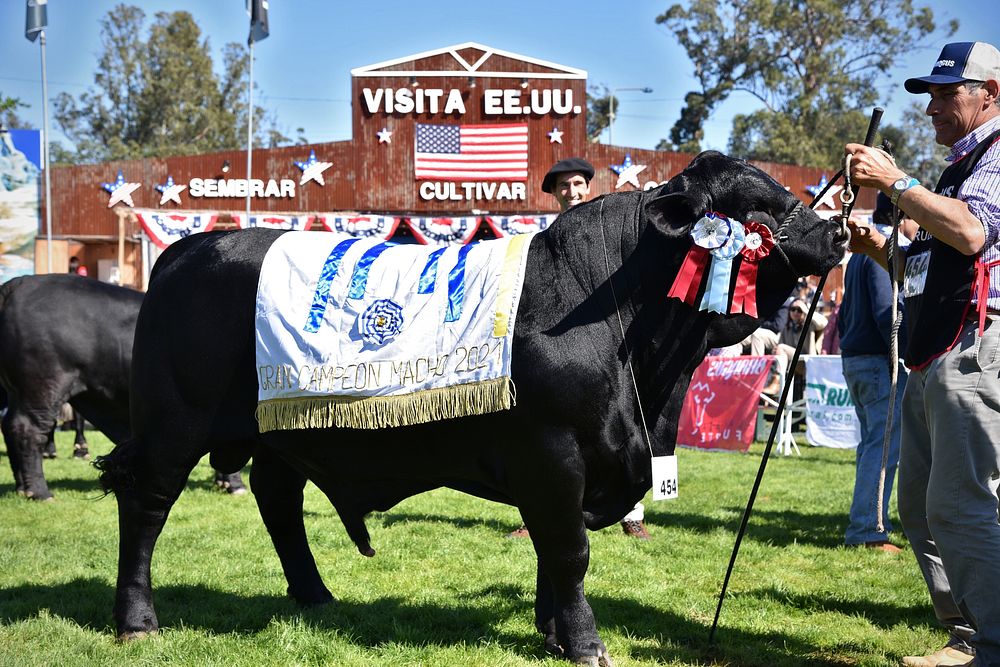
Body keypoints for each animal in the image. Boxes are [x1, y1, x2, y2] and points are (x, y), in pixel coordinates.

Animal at [97, 154, 848, 664]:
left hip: (284, 433)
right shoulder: (554, 453)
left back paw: (316, 596)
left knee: (276, 498)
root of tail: (188, 249)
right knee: (147, 503)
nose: (840, 233)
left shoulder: (571, 469)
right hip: (173, 424)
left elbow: (551, 551)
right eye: (758, 207)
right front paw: (585, 643)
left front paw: (553, 631)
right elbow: (569, 550)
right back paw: (137, 620)